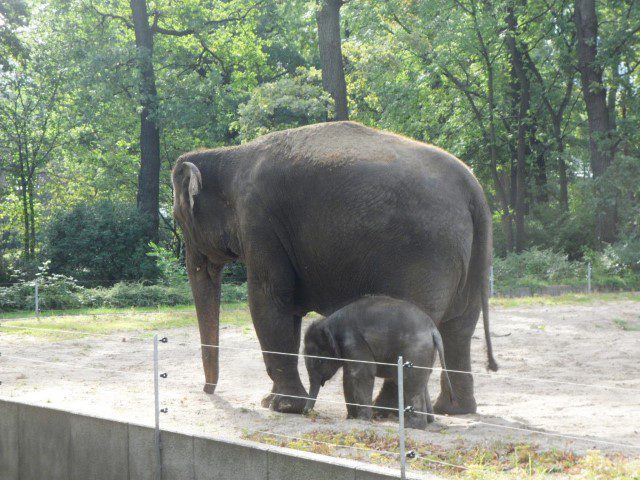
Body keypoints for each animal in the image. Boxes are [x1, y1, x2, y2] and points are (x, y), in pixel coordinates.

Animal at [172, 121, 498, 416]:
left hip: (426, 254)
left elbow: (268, 299)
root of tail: (473, 188)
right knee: (459, 328)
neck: (231, 155)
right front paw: (273, 402)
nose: (207, 391)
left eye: (177, 217)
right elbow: (286, 310)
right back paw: (453, 410)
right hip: (471, 257)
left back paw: (386, 412)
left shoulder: (259, 221)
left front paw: (284, 407)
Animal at [302, 294, 452, 430]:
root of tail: (433, 329)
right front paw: (352, 418)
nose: (306, 412)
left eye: (319, 361)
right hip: (426, 353)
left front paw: (362, 419)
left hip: (416, 351)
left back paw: (413, 426)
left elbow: (361, 373)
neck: (329, 323)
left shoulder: (354, 341)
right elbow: (348, 376)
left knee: (410, 380)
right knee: (421, 381)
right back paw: (429, 421)